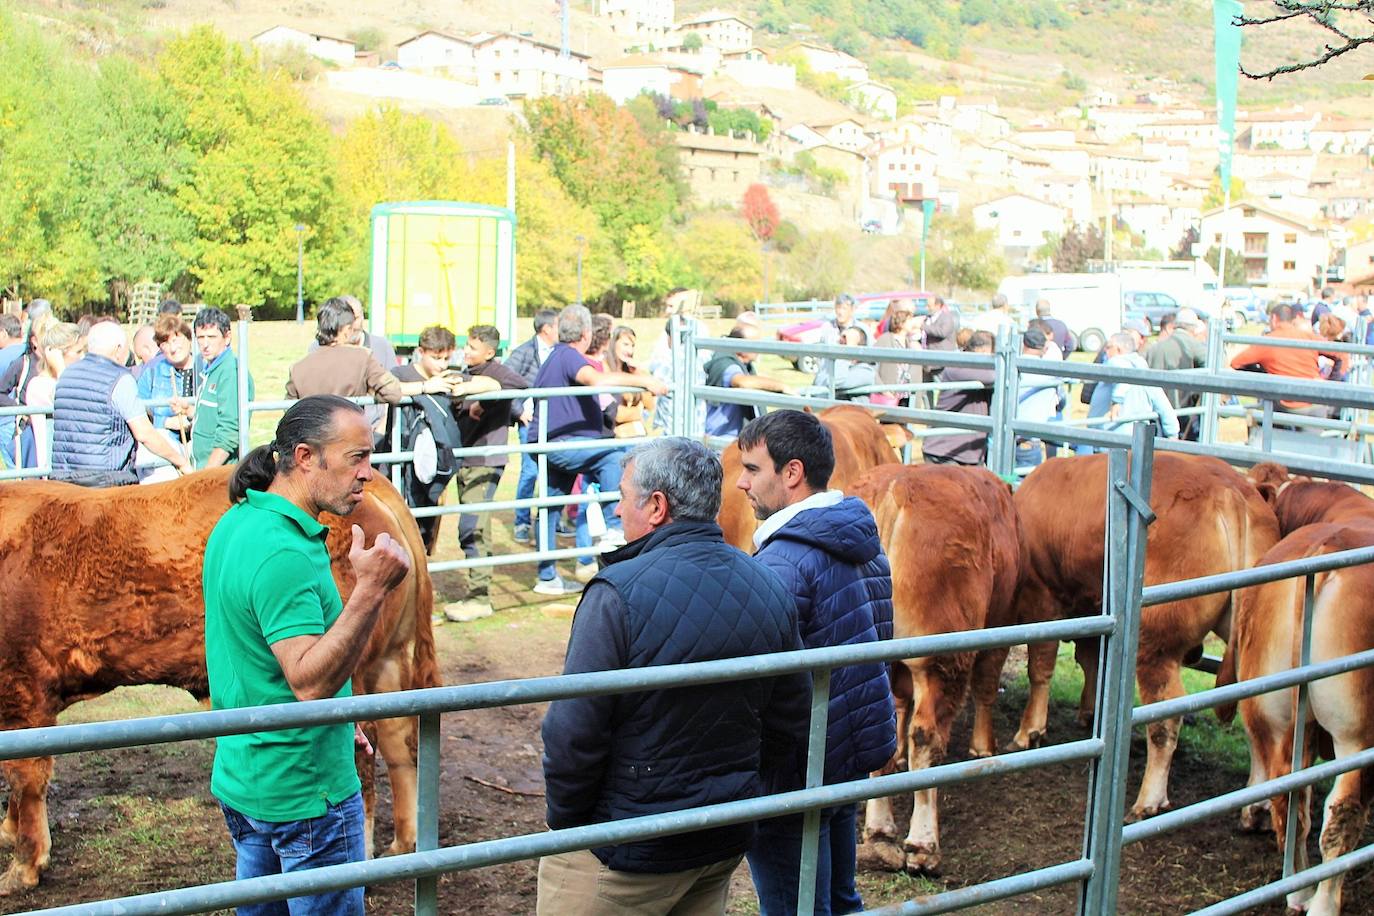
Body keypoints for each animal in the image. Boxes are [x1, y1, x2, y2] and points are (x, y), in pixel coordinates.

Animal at [0, 472, 436, 895]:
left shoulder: (21, 692)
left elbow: (25, 777)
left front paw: (23, 867)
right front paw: (9, 831)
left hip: (349, 676)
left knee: (363, 761)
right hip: (387, 661)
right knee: (400, 743)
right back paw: (403, 844)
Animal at [840, 466, 1027, 873]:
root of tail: (894, 488)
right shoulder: (1001, 624)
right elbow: (987, 683)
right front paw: (983, 746)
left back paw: (880, 833)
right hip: (942, 660)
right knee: (925, 737)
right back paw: (923, 844)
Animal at [1011, 455, 1275, 818]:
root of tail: (1228, 489)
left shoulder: (1043, 597)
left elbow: (1040, 667)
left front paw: (1029, 730)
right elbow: (1092, 663)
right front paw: (1090, 712)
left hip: (1155, 646)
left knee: (1166, 718)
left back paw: (1148, 800)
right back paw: (1255, 806)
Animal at [1220, 519, 1374, 911]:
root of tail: (1328, 544)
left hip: (1274, 716)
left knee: (1290, 796)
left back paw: (1298, 891)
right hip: (1356, 737)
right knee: (1342, 813)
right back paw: (1323, 904)